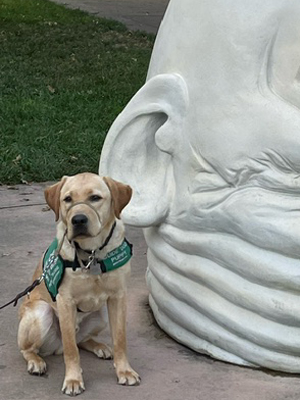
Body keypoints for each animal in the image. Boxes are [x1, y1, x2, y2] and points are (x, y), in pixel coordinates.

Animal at [17, 173, 141, 396]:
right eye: (67, 199)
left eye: (95, 198)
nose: (78, 220)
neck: (91, 254)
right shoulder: (66, 302)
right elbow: (71, 349)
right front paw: (73, 380)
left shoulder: (118, 296)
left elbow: (120, 339)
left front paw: (125, 371)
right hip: (40, 311)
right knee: (31, 348)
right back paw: (35, 361)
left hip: (101, 314)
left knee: (82, 340)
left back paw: (100, 346)